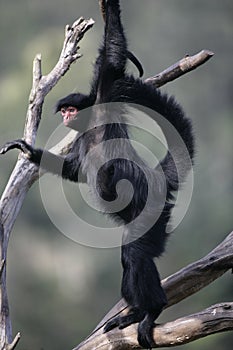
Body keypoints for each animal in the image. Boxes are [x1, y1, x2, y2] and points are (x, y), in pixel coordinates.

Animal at [0, 0, 195, 348]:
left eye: (71, 109)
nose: (66, 116)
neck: (89, 126)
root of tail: (156, 178)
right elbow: (75, 170)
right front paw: (27, 150)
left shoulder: (105, 97)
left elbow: (113, 58)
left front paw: (110, 8)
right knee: (128, 256)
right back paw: (135, 312)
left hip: (154, 213)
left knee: (134, 253)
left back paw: (152, 310)